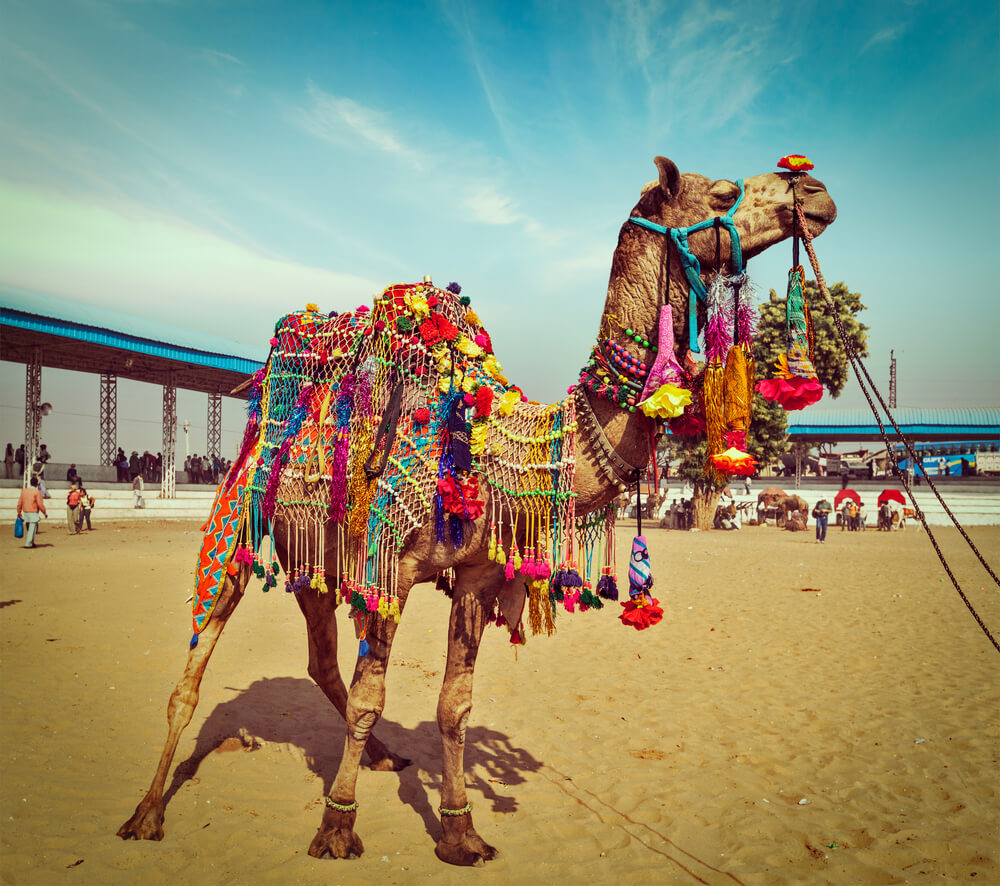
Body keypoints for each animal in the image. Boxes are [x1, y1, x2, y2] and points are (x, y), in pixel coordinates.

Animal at [117, 154, 836, 868]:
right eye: (720, 190)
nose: (813, 188)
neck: (495, 444)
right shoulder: (393, 567)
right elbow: (373, 698)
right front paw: (337, 827)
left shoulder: (477, 574)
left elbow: (453, 705)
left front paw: (461, 833)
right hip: (238, 515)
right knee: (199, 661)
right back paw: (146, 812)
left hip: (316, 558)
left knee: (320, 658)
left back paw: (384, 758)